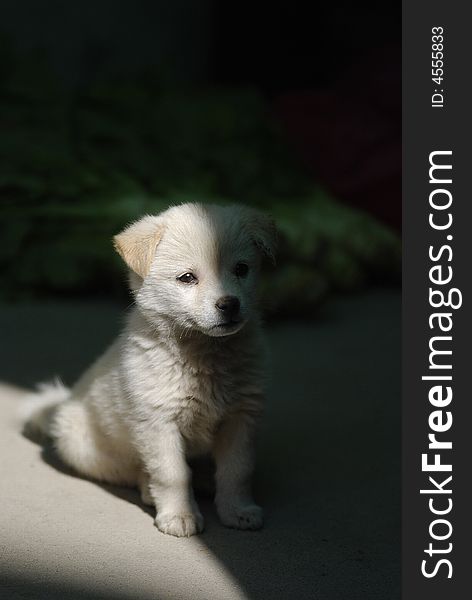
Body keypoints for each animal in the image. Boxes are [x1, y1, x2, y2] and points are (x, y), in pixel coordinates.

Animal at [24, 204, 276, 536]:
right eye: (187, 278)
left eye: (241, 269)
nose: (229, 304)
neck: (204, 355)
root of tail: (62, 403)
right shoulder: (158, 423)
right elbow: (173, 474)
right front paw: (179, 515)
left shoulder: (241, 417)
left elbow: (237, 470)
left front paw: (238, 510)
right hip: (84, 446)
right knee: (134, 471)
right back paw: (152, 489)